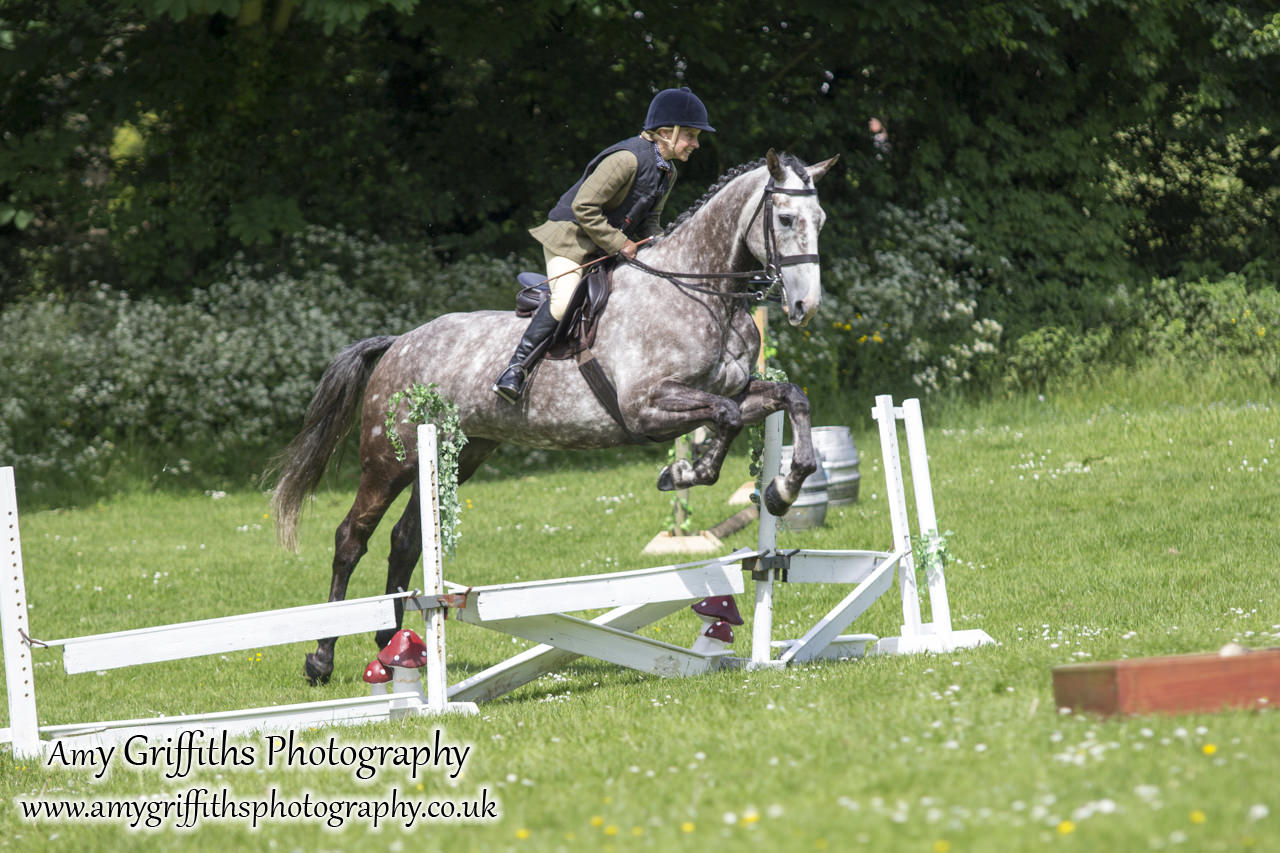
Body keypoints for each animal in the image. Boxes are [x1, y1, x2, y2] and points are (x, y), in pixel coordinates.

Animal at [270, 149, 839, 681]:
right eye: (785, 218)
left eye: (821, 220)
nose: (804, 307)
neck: (699, 292)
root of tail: (398, 342)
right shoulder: (646, 408)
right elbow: (723, 418)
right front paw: (683, 471)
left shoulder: (737, 389)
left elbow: (788, 398)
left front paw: (781, 490)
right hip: (390, 457)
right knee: (352, 537)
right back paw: (322, 657)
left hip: (459, 453)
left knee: (406, 540)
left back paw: (391, 644)